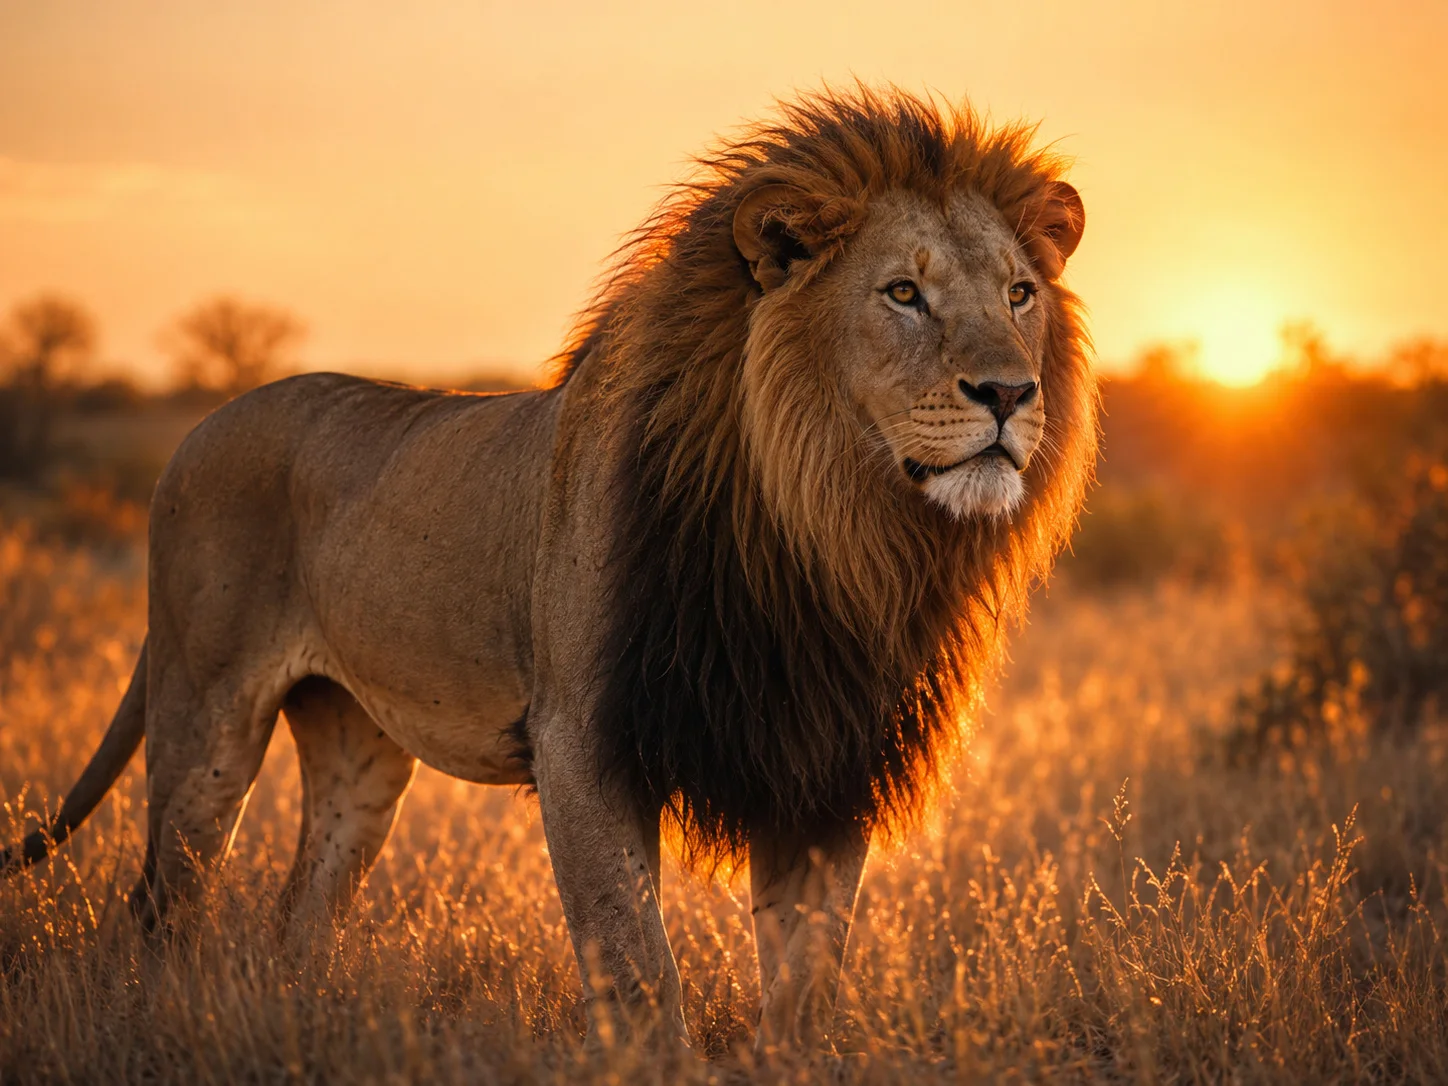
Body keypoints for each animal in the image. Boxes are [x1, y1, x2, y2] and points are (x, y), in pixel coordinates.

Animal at [2, 87, 1095, 1052]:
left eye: (1019, 293)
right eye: (903, 293)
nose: (1009, 393)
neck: (826, 538)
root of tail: (201, 425)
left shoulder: (819, 758)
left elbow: (803, 986)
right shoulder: (582, 741)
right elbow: (637, 972)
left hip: (359, 750)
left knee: (298, 915)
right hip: (206, 716)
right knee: (160, 908)